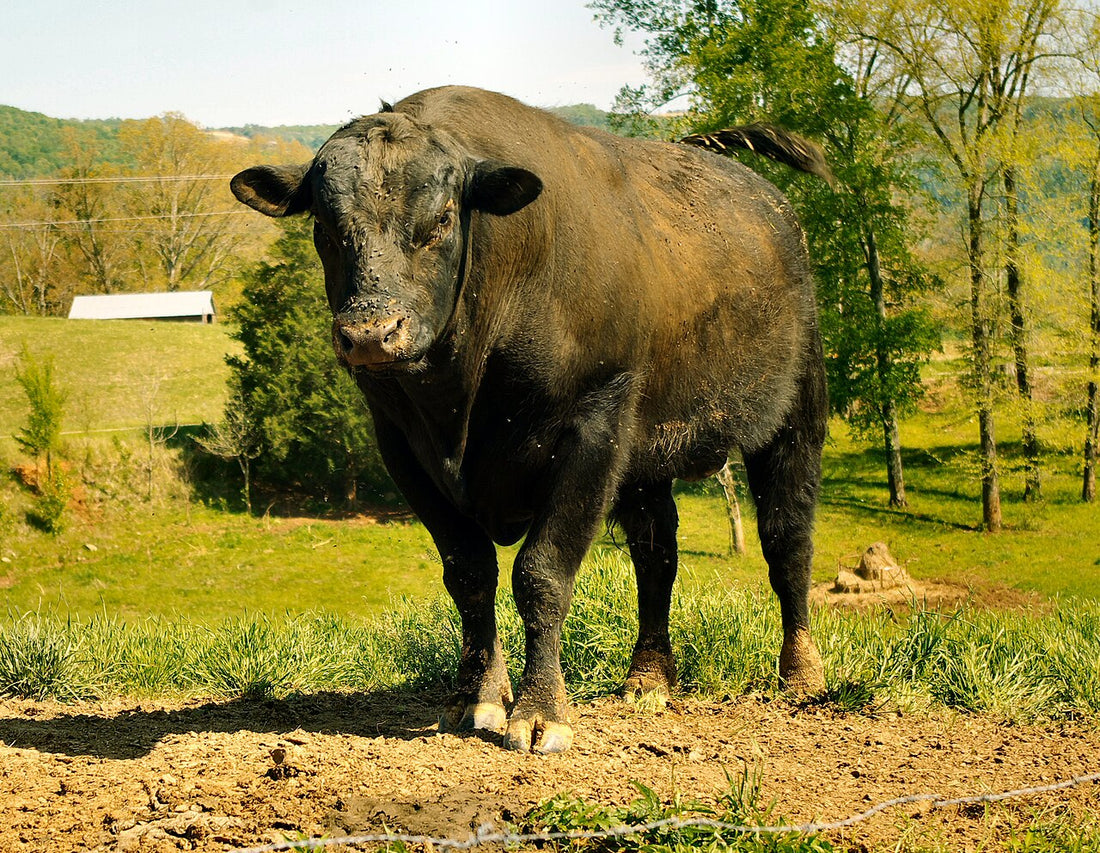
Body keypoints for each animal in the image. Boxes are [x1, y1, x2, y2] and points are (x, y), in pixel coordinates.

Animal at [231, 86, 829, 754]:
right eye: (323, 227)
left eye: (442, 220)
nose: (369, 333)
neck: (460, 402)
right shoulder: (401, 444)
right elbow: (469, 573)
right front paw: (476, 696)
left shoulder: (593, 422)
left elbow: (542, 572)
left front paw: (542, 711)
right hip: (645, 455)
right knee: (657, 553)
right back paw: (648, 679)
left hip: (797, 408)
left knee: (786, 537)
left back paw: (802, 675)